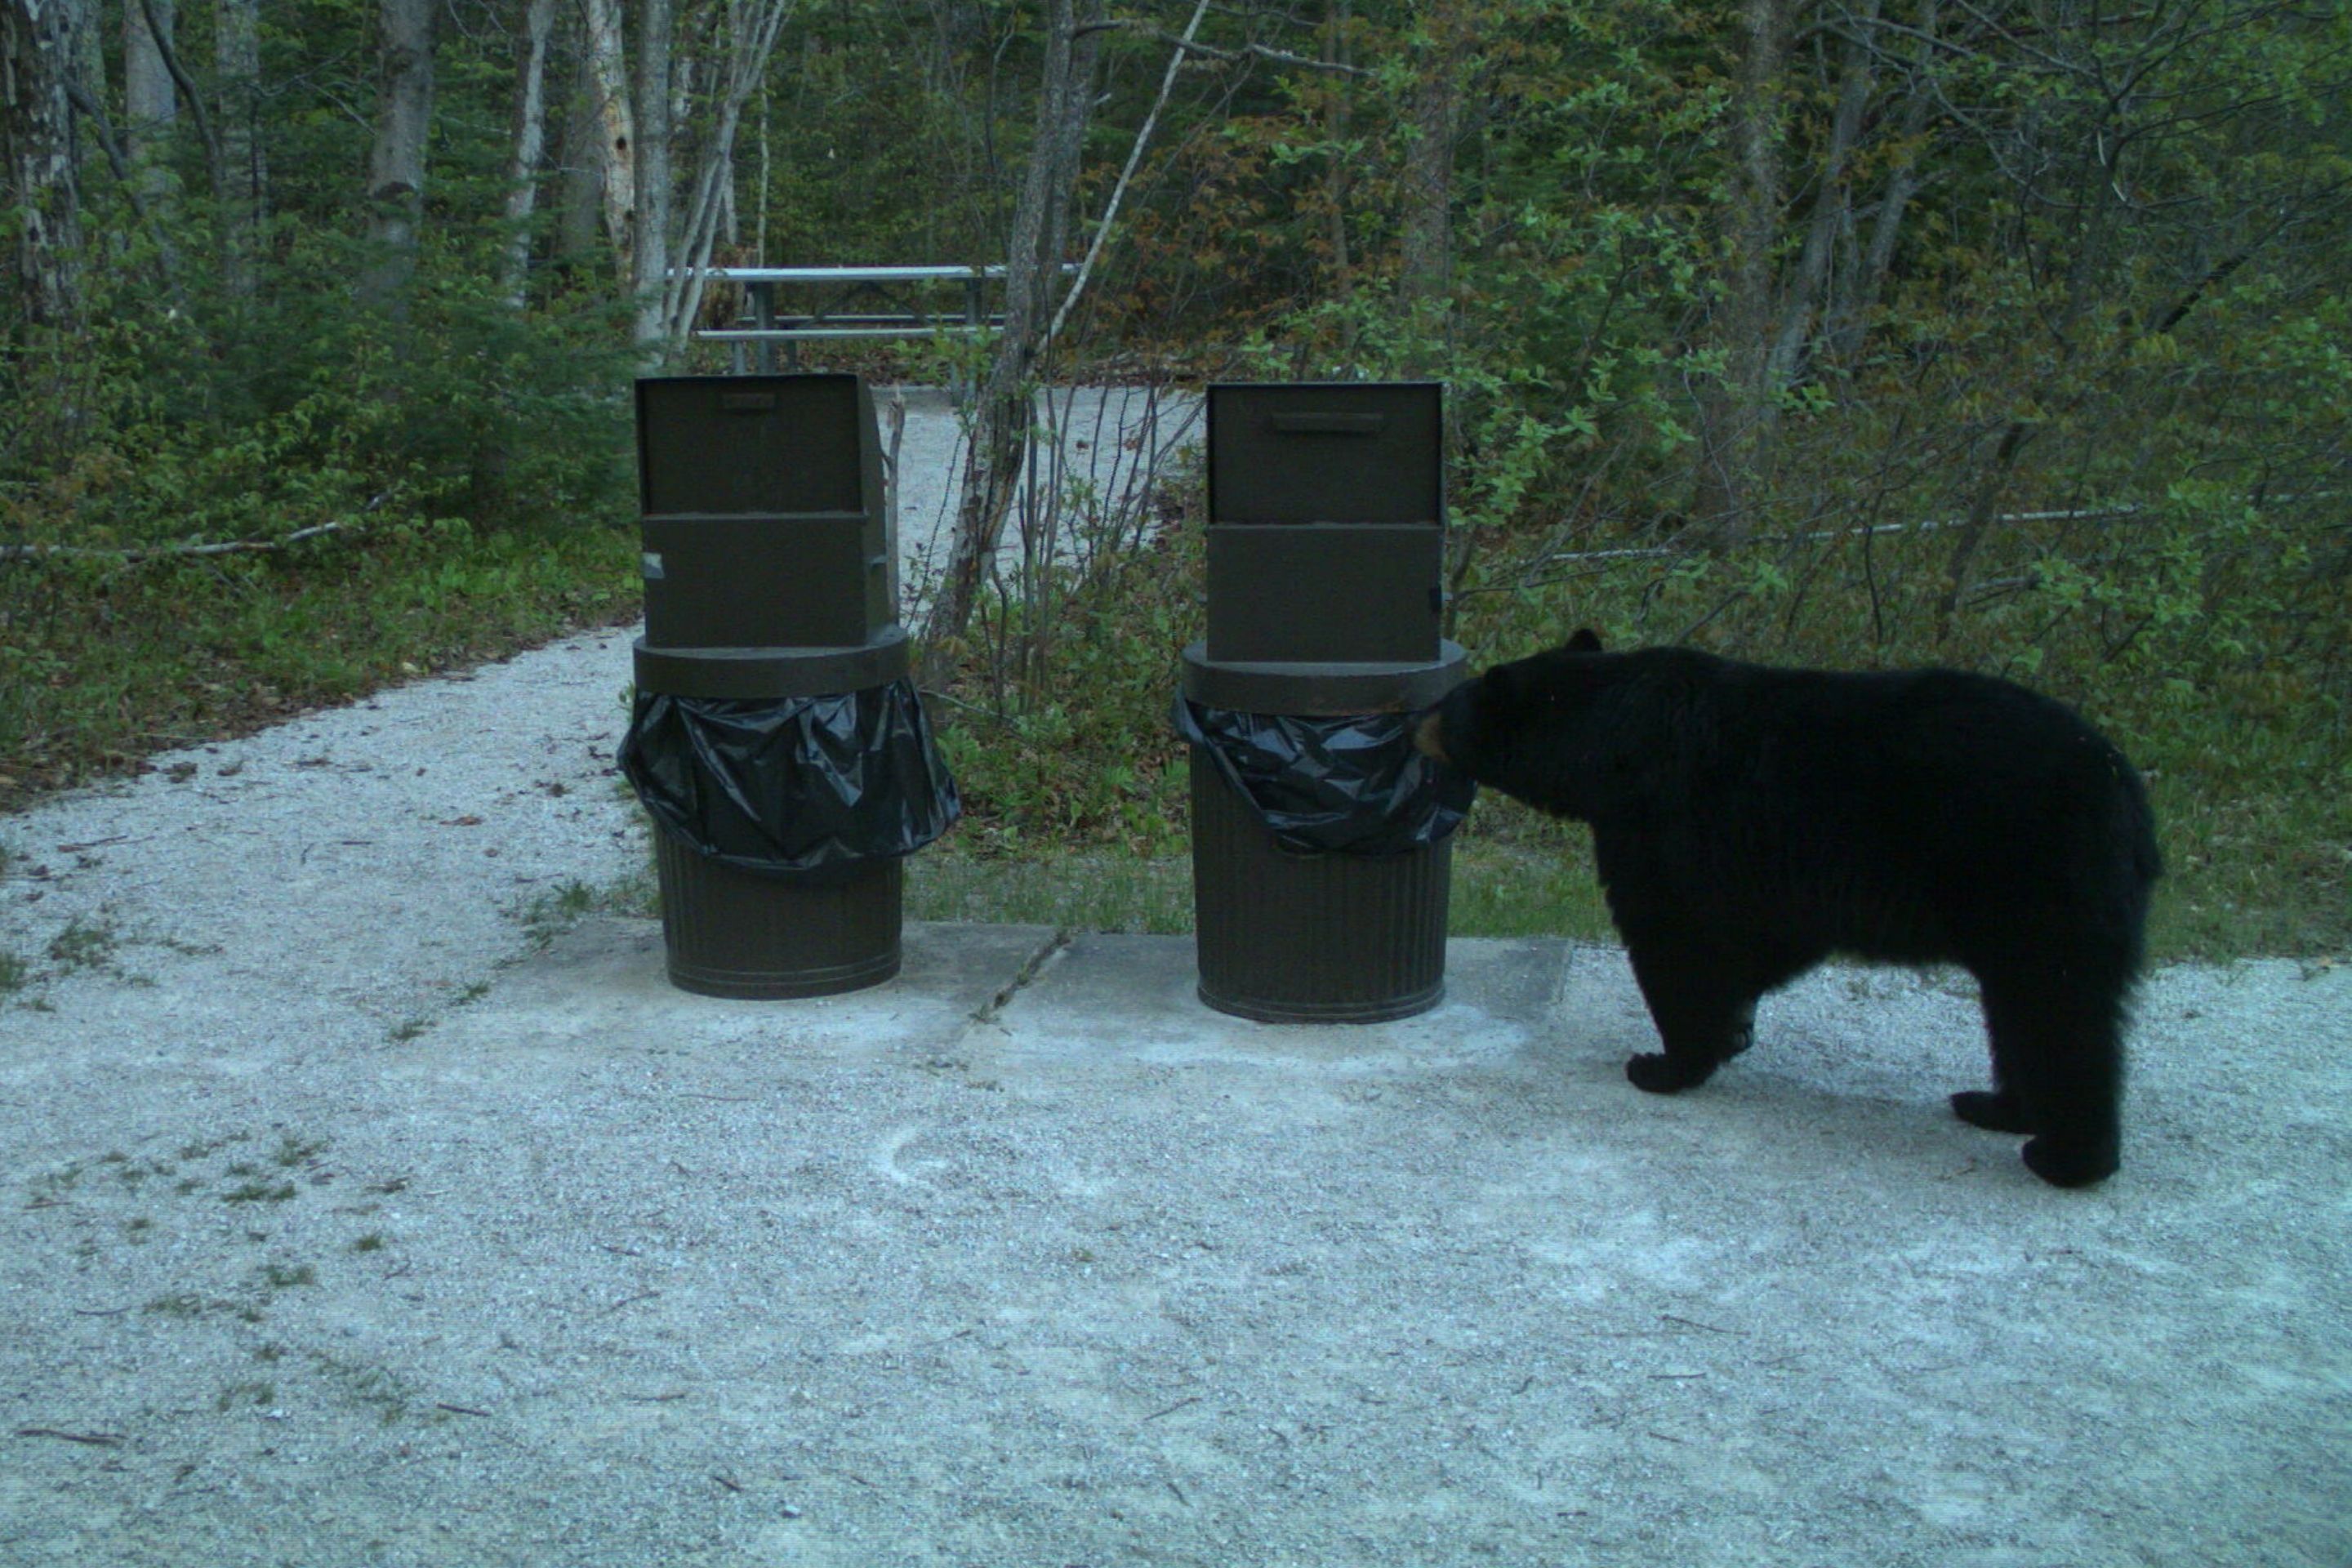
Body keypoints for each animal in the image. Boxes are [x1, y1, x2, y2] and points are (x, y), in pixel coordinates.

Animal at [1415, 628, 2162, 1188]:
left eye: (1448, 705)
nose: (1415, 721)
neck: (1607, 742)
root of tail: (2128, 794)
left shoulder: (1658, 826)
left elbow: (1672, 937)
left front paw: (1666, 1063)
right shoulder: (1767, 871)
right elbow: (1767, 939)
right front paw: (1733, 1027)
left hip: (2037, 880)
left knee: (2060, 1011)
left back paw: (2066, 1156)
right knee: (2017, 1012)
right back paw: (1999, 1106)